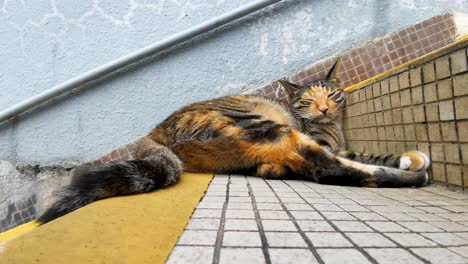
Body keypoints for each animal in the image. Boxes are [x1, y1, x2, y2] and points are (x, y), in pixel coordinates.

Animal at [38, 60, 430, 224]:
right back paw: (413, 177)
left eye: (331, 93)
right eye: (307, 100)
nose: (323, 108)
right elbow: (359, 155)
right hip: (260, 124)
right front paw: (409, 161)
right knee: (324, 167)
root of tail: (152, 133)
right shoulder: (324, 139)